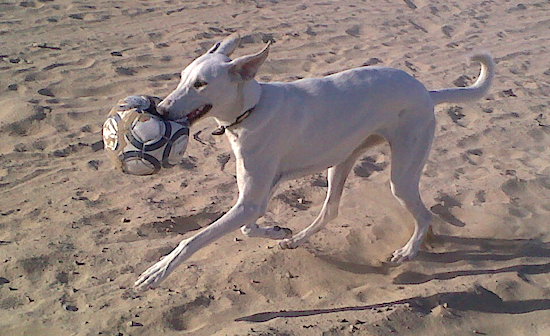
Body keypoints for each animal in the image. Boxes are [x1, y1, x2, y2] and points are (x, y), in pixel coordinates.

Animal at [134, 35, 496, 290]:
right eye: (182, 77)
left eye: (201, 84)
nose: (160, 111)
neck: (253, 108)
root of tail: (427, 92)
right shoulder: (259, 193)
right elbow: (250, 228)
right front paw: (277, 229)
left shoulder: (250, 201)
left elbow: (191, 240)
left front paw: (155, 272)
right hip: (341, 162)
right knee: (330, 211)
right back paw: (296, 239)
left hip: (402, 176)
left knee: (425, 214)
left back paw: (408, 252)